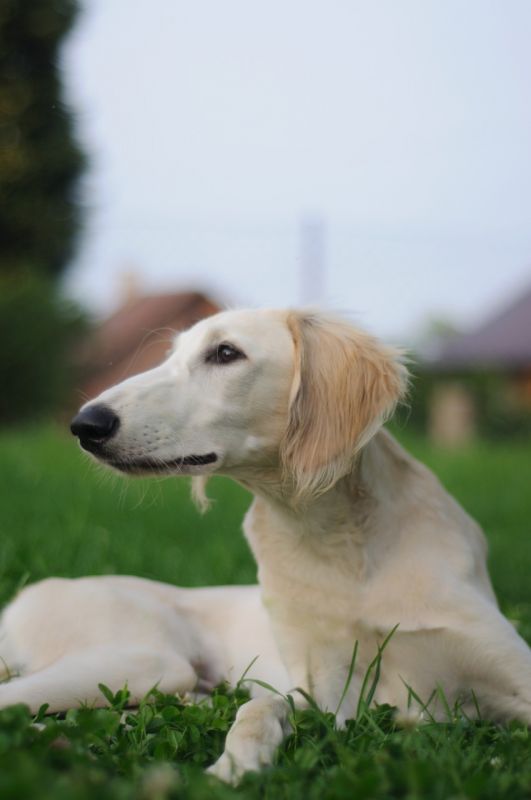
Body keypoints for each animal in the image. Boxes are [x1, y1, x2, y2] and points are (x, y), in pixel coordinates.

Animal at [2, 308, 531, 783]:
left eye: (225, 352)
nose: (84, 424)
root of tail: (24, 597)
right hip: (146, 660)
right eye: (170, 355)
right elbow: (259, 708)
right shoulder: (328, 692)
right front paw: (234, 766)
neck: (343, 544)